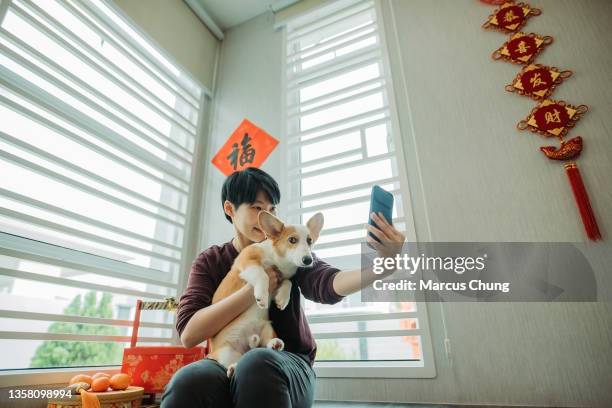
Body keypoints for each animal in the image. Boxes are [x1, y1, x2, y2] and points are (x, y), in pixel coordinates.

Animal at [208, 210, 326, 376]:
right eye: (292, 240)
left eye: (309, 241)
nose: (308, 260)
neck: (280, 261)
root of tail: (248, 344)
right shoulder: (246, 262)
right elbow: (262, 274)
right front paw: (262, 297)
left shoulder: (280, 278)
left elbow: (288, 282)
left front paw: (282, 299)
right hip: (226, 352)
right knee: (232, 362)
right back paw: (232, 369)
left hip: (268, 328)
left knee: (265, 345)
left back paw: (275, 344)